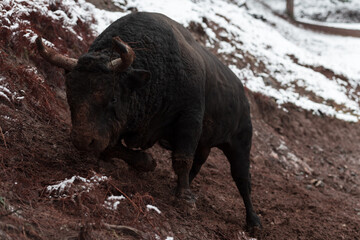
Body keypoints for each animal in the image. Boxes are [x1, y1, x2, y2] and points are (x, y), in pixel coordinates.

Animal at [36, 11, 260, 228]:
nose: (83, 140)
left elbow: (182, 160)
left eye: (113, 97)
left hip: (239, 144)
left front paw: (185, 201)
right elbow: (112, 148)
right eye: (70, 94)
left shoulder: (189, 119)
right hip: (206, 144)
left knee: (242, 178)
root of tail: (243, 97)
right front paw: (148, 162)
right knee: (199, 163)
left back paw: (253, 221)